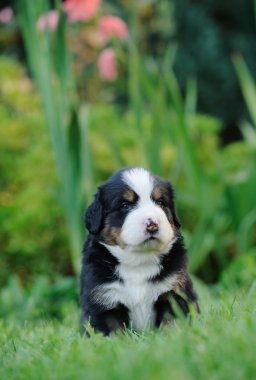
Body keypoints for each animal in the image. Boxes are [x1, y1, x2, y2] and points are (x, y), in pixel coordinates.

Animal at [80, 166, 198, 336]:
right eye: (125, 205)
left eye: (160, 202)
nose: (152, 224)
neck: (139, 262)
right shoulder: (103, 301)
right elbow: (113, 333)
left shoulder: (175, 292)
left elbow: (171, 325)